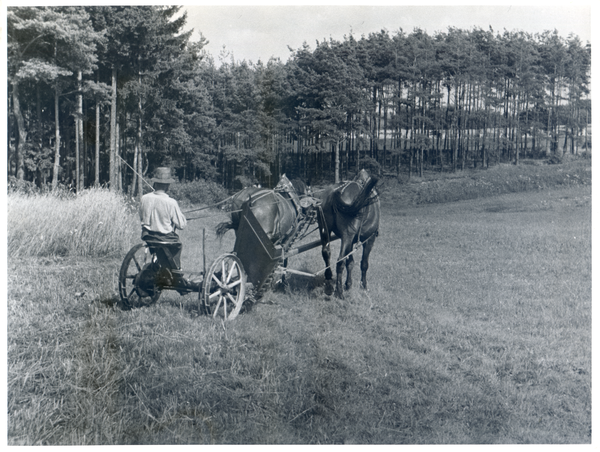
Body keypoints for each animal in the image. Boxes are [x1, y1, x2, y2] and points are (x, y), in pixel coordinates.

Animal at [314, 170, 380, 300]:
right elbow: (364, 264)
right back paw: (339, 292)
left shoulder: (351, 241)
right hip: (347, 234)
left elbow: (350, 263)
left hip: (325, 230)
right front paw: (363, 286)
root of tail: (333, 194)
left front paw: (348, 284)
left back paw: (329, 281)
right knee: (340, 260)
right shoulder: (369, 240)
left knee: (326, 253)